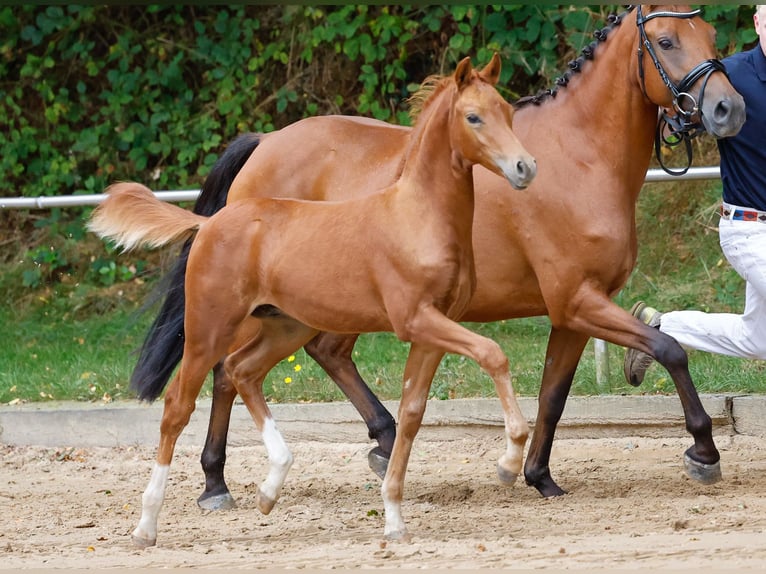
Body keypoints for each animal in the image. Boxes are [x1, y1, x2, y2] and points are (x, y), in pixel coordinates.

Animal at [90, 56, 536, 548]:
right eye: (473, 117)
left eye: (508, 112)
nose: (525, 167)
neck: (418, 216)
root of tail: (208, 224)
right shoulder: (415, 319)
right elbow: (493, 353)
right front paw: (509, 462)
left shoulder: (434, 329)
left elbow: (412, 412)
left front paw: (394, 519)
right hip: (209, 329)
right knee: (180, 405)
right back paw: (149, 524)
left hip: (286, 327)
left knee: (242, 371)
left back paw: (270, 487)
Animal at [129, 5, 748, 512]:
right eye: (665, 40)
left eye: (711, 35)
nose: (728, 108)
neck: (579, 157)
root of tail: (263, 145)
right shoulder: (579, 300)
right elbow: (669, 350)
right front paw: (703, 450)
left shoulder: (572, 312)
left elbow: (553, 395)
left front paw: (540, 476)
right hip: (248, 309)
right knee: (224, 375)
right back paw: (216, 484)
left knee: (317, 356)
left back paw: (382, 442)